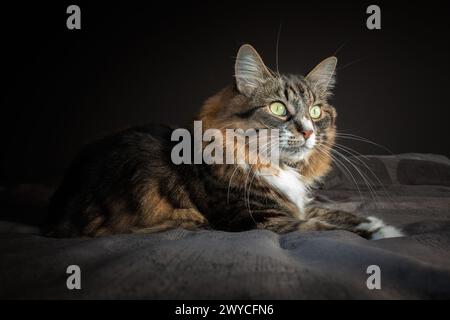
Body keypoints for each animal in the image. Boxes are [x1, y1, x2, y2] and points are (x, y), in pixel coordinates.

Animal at [45, 45, 404, 240]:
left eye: (316, 112)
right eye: (278, 108)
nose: (307, 131)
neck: (277, 167)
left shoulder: (295, 205)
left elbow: (329, 211)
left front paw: (375, 221)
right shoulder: (263, 221)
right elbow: (322, 226)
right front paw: (385, 234)